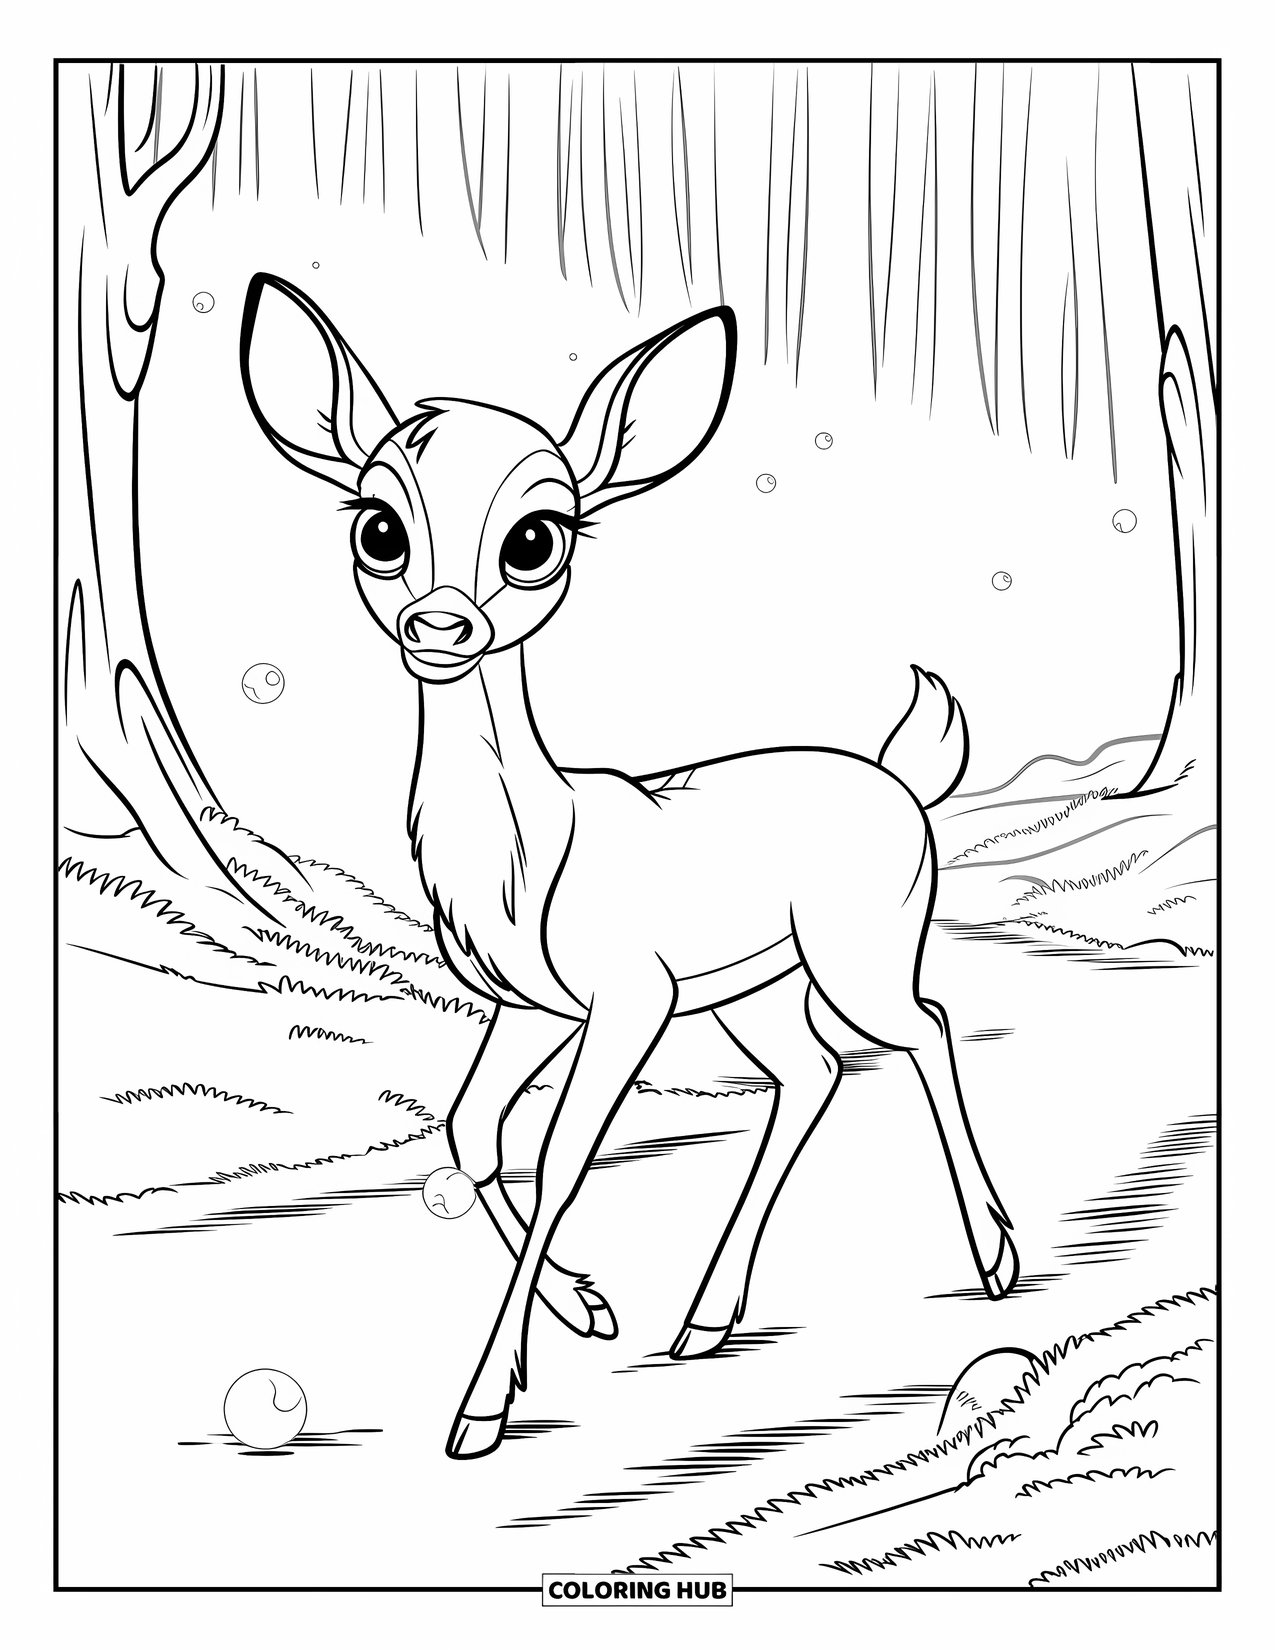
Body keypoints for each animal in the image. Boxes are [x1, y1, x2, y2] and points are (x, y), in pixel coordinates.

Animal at [240, 274, 1019, 1460]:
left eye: (536, 536)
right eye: (379, 528)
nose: (439, 624)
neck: (532, 855)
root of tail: (902, 775)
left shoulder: (629, 996)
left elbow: (565, 1157)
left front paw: (481, 1409)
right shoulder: (528, 1005)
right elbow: (470, 1134)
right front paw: (587, 1307)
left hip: (860, 950)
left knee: (923, 1027)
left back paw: (993, 1260)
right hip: (756, 988)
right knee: (811, 1073)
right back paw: (703, 1317)